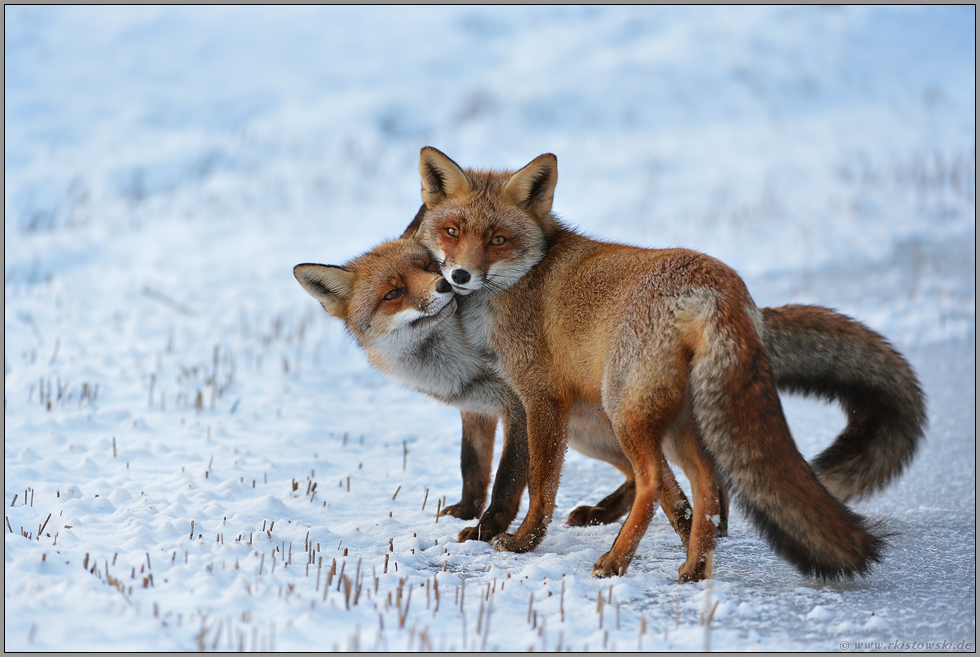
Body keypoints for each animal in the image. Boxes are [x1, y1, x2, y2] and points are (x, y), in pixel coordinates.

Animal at [414, 147, 928, 580]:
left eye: (499, 239)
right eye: (452, 231)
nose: (460, 275)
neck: (521, 283)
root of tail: (722, 288)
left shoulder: (539, 399)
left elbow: (537, 486)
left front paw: (522, 541)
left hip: (623, 411)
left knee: (654, 480)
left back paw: (616, 560)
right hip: (676, 419)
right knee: (702, 488)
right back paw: (695, 566)